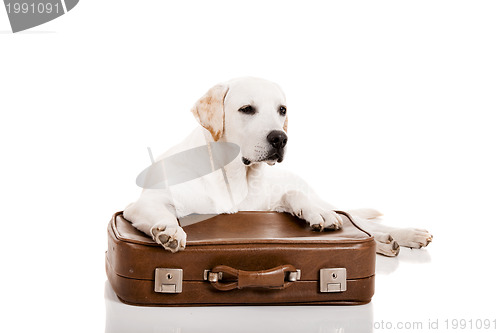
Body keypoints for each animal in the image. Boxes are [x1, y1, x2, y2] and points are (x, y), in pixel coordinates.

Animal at [123, 76, 432, 255]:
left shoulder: (270, 202)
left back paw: (402, 235)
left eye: (282, 110)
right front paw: (170, 230)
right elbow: (163, 212)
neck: (234, 175)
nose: (280, 138)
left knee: (359, 220)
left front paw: (316, 213)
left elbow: (295, 197)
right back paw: (386, 242)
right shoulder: (141, 204)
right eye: (247, 109)